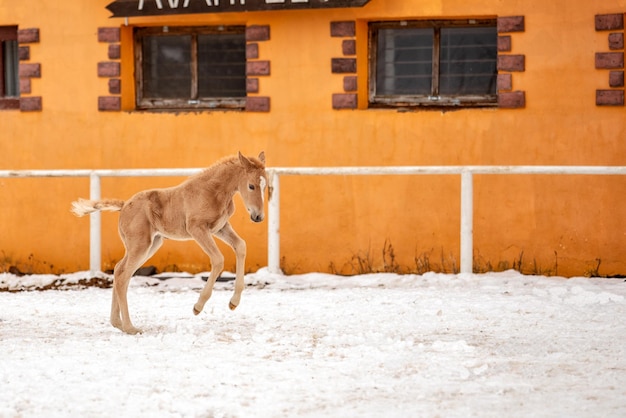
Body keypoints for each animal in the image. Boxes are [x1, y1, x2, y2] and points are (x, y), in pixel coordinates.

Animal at [70, 152, 266, 334]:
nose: (258, 217)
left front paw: (233, 303)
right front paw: (197, 307)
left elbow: (241, 246)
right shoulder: (198, 229)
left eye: (266, 186)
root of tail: (124, 205)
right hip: (141, 245)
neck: (213, 192)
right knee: (122, 275)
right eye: (251, 185)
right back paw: (130, 327)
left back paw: (117, 323)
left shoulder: (220, 228)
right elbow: (218, 260)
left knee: (119, 270)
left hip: (151, 244)